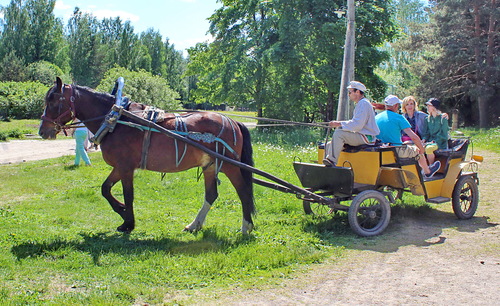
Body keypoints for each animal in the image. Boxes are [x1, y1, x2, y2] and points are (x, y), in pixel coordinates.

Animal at [39, 77, 256, 234]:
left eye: (53, 100)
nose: (43, 131)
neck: (116, 120)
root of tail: (233, 122)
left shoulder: (126, 167)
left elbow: (128, 195)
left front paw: (128, 222)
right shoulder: (120, 166)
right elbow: (105, 189)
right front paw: (122, 212)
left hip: (230, 165)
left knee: (244, 192)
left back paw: (246, 227)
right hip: (210, 165)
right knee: (211, 195)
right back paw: (195, 224)